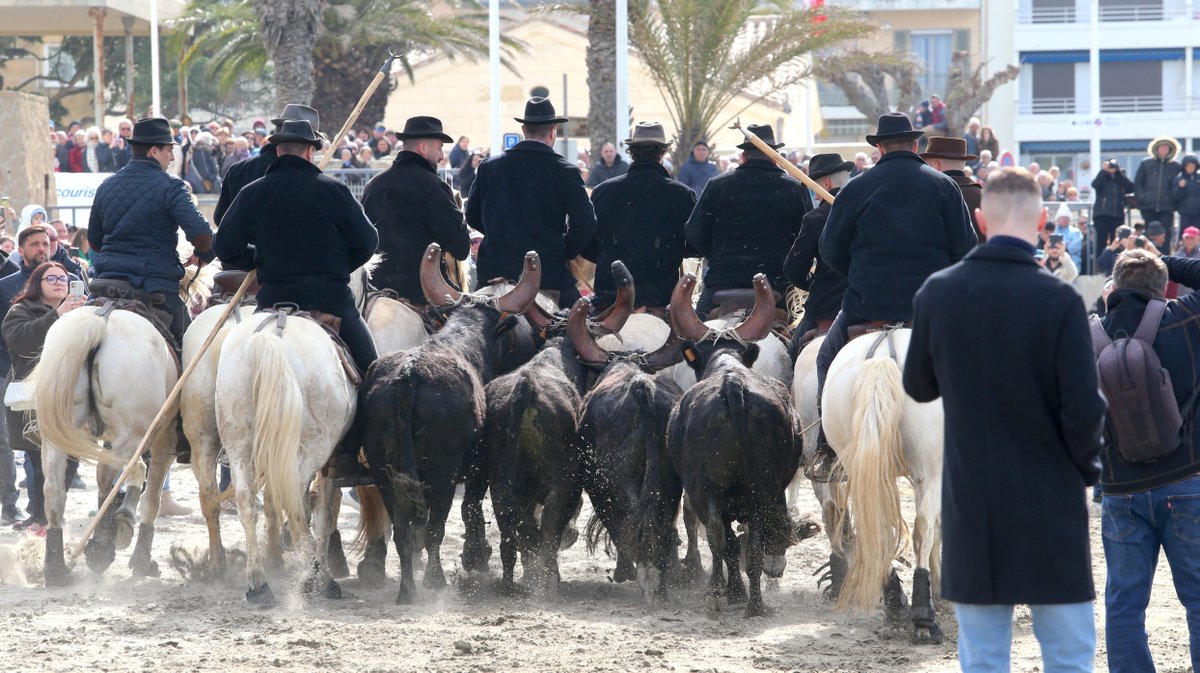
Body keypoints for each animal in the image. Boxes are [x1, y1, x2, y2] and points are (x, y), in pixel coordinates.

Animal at [32, 305, 180, 583]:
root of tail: (100, 320)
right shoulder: (164, 440)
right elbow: (152, 499)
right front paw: (142, 560)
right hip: (133, 434)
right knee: (109, 476)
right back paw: (102, 543)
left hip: (57, 433)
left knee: (55, 490)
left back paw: (57, 569)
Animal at [825, 328, 945, 643]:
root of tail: (882, 357)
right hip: (929, 468)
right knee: (922, 528)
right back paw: (923, 618)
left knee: (876, 532)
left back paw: (896, 602)